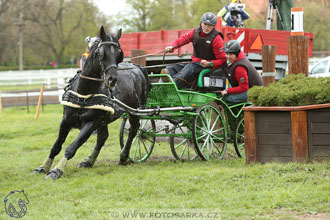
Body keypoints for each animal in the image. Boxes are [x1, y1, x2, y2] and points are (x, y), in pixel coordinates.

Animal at [34, 26, 150, 180]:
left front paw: (56, 170)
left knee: (133, 131)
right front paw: (43, 166)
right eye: (100, 53)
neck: (84, 93)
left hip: (134, 111)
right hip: (104, 119)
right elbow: (56, 145)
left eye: (119, 54)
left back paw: (124, 156)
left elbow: (72, 147)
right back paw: (89, 160)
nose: (113, 79)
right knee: (103, 137)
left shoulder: (91, 123)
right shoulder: (66, 120)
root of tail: (137, 67)